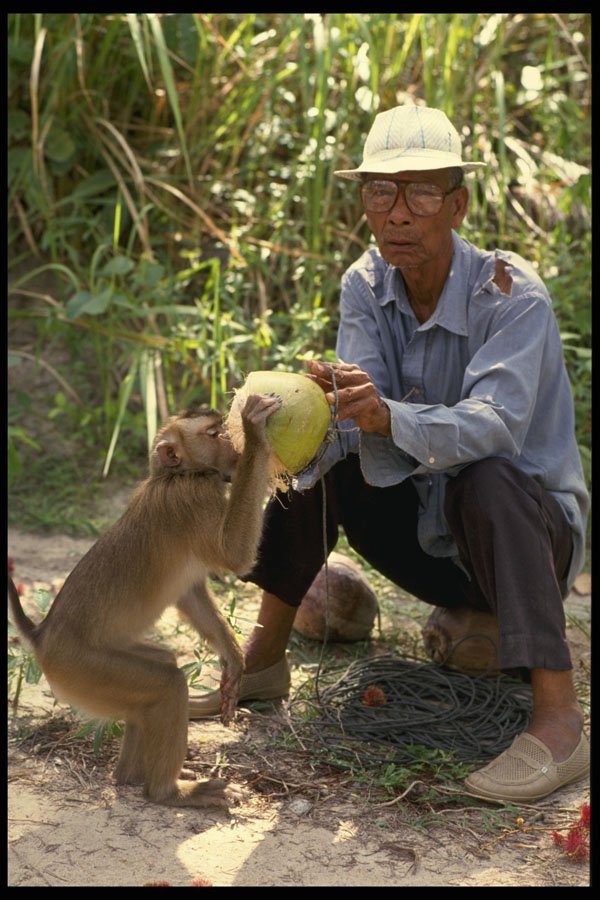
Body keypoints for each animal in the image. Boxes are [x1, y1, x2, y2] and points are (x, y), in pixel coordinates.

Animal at [7, 392, 281, 809]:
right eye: (214, 433)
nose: (234, 446)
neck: (176, 476)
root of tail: (41, 638)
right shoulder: (194, 498)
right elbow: (234, 556)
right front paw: (256, 434)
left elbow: (191, 594)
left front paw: (234, 661)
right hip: (82, 670)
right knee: (167, 682)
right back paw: (167, 791)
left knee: (161, 669)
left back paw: (131, 776)